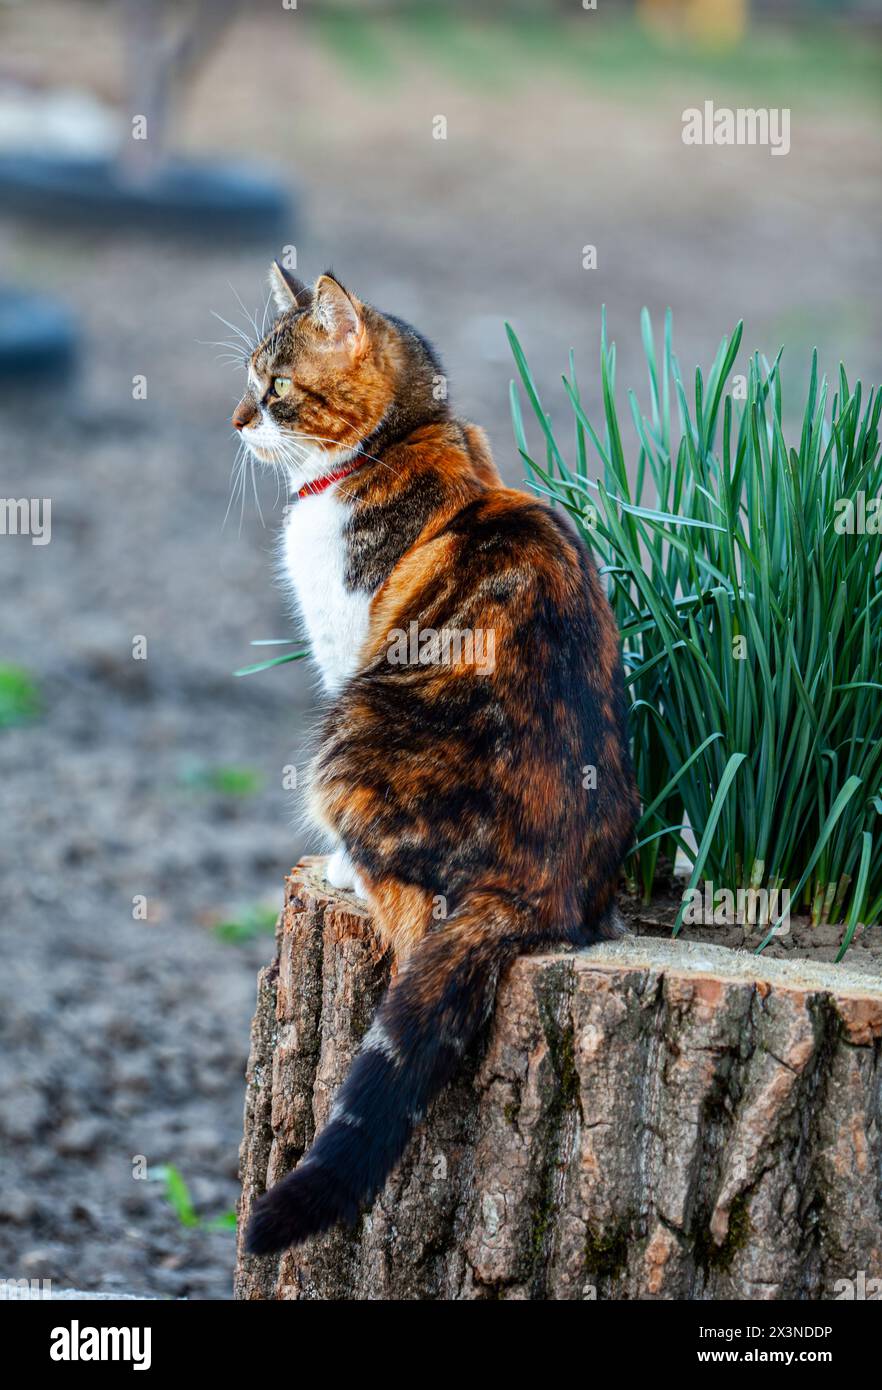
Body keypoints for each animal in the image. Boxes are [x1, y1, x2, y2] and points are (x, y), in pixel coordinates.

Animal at [230, 265, 638, 1256]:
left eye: (277, 385)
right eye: (250, 379)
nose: (236, 419)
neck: (401, 441)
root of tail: (536, 889)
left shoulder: (347, 644)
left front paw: (334, 868)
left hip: (348, 729)